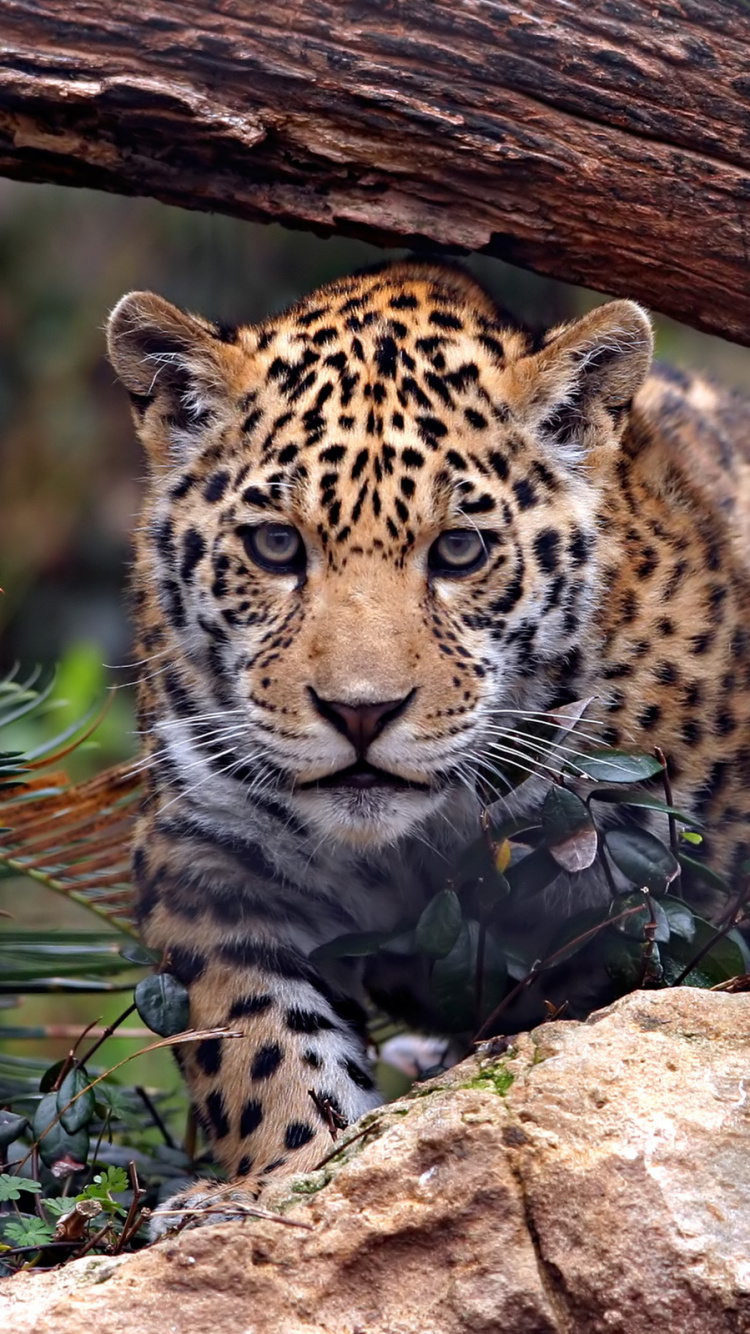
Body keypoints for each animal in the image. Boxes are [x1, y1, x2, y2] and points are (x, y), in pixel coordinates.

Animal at [106, 257, 750, 1227]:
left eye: (459, 551)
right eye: (274, 545)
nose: (361, 713)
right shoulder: (207, 862)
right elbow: (258, 1042)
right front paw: (283, 1178)